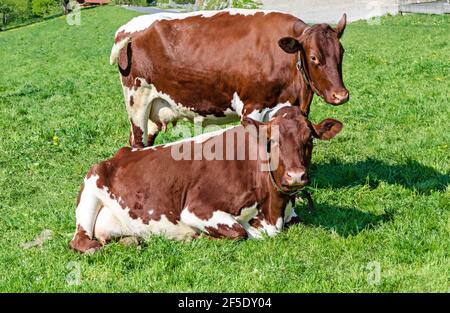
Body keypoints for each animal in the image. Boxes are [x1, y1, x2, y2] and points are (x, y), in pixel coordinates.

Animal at [69, 106, 342, 252]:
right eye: (270, 141)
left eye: (309, 139)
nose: (296, 176)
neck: (272, 210)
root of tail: (122, 153)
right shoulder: (195, 209)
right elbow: (238, 232)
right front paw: (197, 237)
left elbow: (296, 222)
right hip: (90, 187)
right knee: (81, 241)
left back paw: (131, 240)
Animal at [110, 8, 350, 147]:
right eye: (314, 57)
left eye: (342, 52)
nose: (341, 95)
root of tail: (127, 28)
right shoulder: (252, 108)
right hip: (137, 102)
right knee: (137, 141)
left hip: (156, 108)